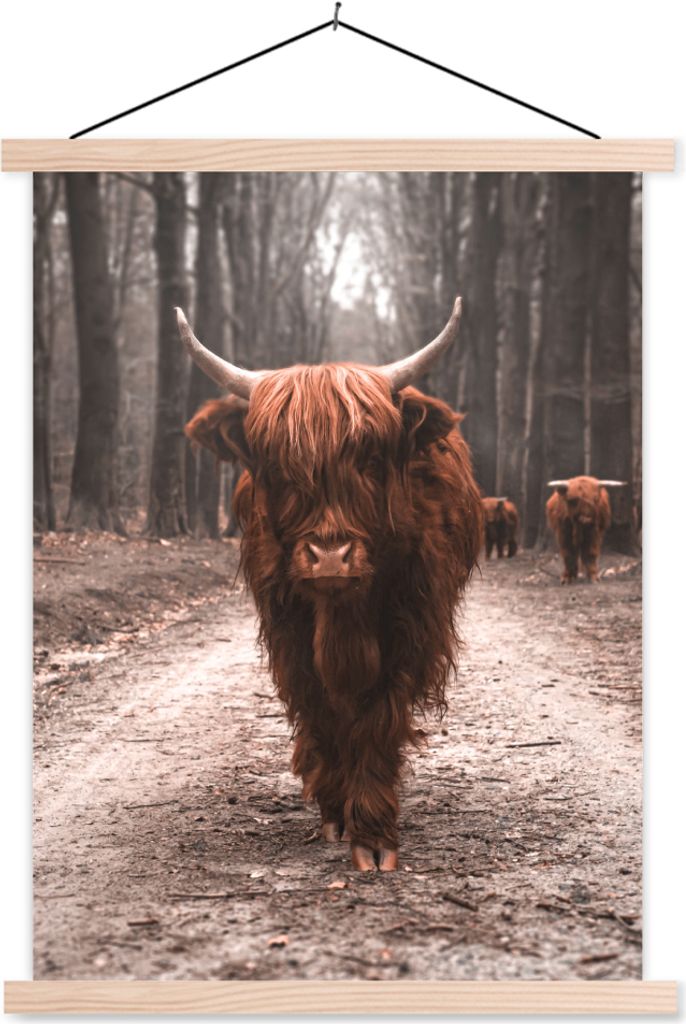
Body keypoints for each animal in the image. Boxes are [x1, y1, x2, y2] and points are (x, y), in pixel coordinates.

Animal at [179, 297, 482, 871]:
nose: (330, 558)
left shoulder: (410, 628)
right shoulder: (289, 632)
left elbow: (378, 716)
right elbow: (320, 710)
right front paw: (336, 812)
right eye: (277, 466)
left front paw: (374, 833)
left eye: (370, 459)